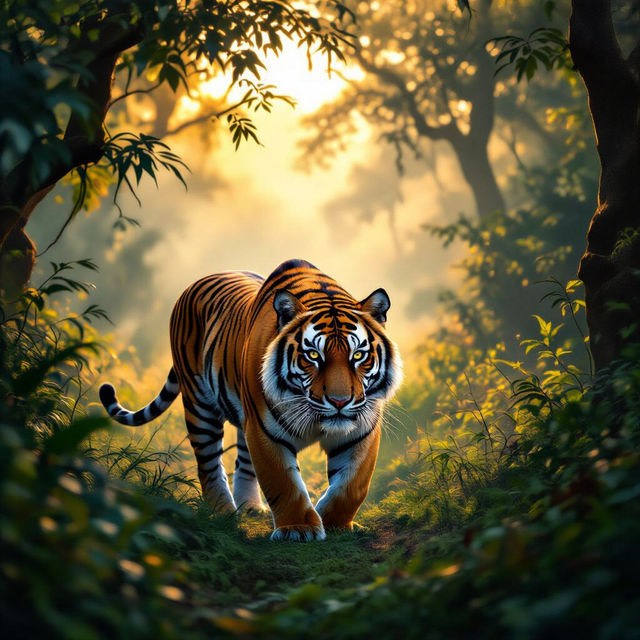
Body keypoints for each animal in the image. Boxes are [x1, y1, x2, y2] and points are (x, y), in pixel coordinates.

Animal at [99, 259, 402, 541]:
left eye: (358, 355)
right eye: (313, 356)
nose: (340, 402)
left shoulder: (361, 430)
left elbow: (352, 485)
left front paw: (336, 525)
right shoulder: (266, 431)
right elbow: (283, 482)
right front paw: (298, 529)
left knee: (243, 462)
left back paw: (250, 507)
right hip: (201, 406)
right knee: (209, 464)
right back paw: (224, 514)